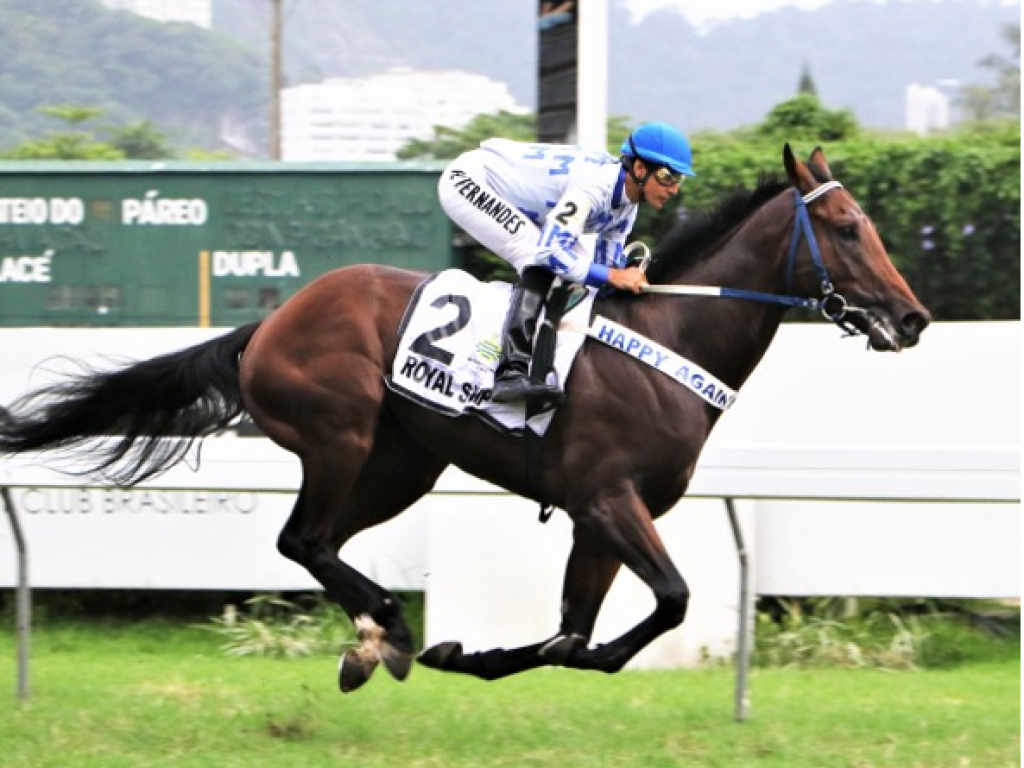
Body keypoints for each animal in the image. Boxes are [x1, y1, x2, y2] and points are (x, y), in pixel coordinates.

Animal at [0, 144, 929, 692]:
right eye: (847, 227)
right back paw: (392, 627)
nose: (913, 318)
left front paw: (478, 655)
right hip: (341, 436)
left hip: (402, 464)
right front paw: (465, 649)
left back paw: (375, 639)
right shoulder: (608, 501)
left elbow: (573, 635)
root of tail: (268, 321)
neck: (669, 340)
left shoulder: (597, 519)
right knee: (302, 540)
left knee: (321, 544)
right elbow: (667, 602)